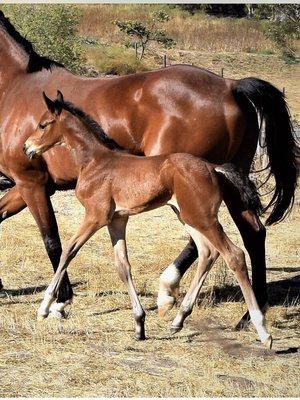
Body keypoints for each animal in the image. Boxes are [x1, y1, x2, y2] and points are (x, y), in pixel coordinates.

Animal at [23, 91, 272, 346]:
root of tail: (214, 167)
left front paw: (45, 308)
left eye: (42, 124)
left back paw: (262, 330)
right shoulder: (116, 220)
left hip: (203, 218)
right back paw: (179, 319)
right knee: (208, 253)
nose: (26, 147)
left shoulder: (95, 216)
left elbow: (68, 251)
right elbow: (123, 266)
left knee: (234, 255)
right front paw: (139, 323)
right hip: (188, 216)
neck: (95, 162)